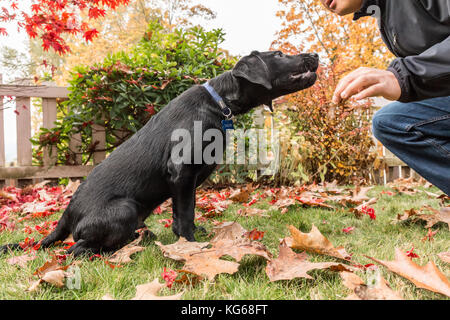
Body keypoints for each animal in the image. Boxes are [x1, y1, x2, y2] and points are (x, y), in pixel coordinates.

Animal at [1, 50, 318, 255]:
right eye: (279, 54)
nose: (314, 53)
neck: (219, 102)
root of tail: (66, 214)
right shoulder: (181, 172)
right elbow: (185, 214)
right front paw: (191, 245)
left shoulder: (189, 180)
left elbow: (186, 212)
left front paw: (193, 236)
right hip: (125, 209)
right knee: (74, 249)